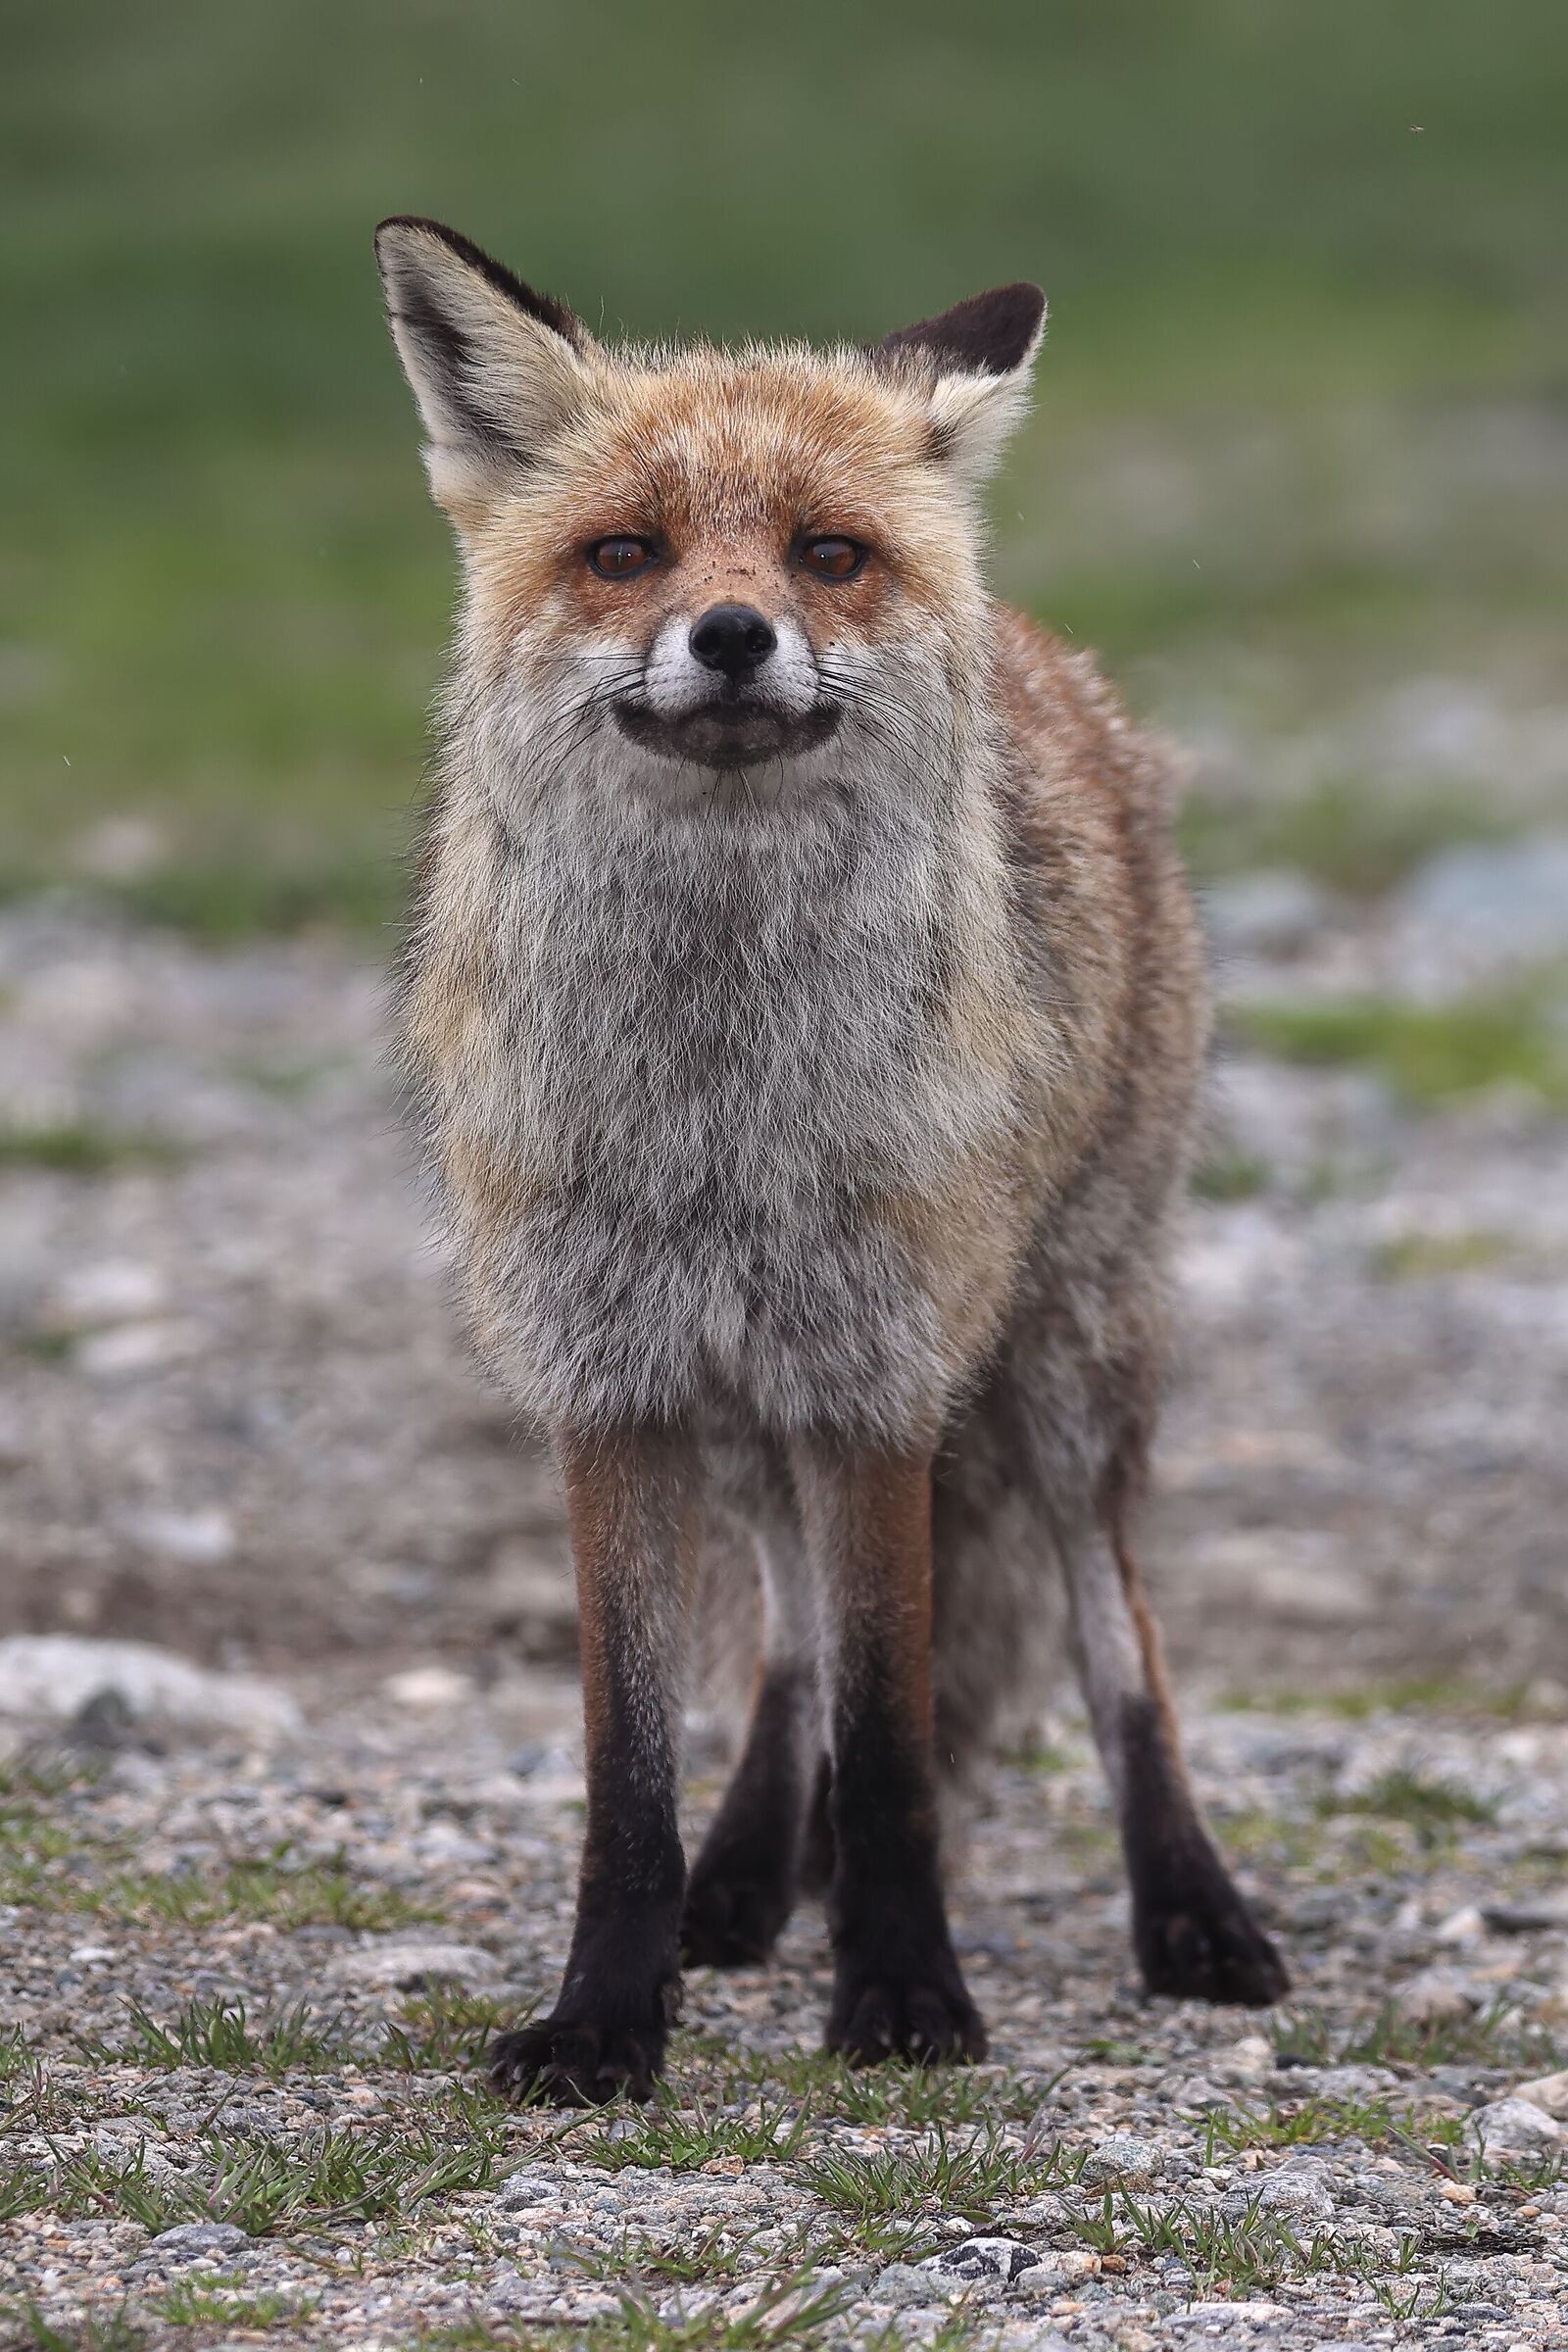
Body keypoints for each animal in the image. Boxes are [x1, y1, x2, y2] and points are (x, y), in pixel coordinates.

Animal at [374, 217, 1289, 2105]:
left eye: (830, 554)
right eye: (626, 553)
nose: (732, 633)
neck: (725, 1096)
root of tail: (1051, 654)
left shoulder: (883, 1380)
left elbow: (891, 1752)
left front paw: (906, 2000)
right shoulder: (613, 1386)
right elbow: (633, 1767)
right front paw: (607, 2014)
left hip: (1067, 1362)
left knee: (1124, 1645)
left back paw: (1193, 1916)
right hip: (750, 1414)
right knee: (790, 1640)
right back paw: (737, 1887)